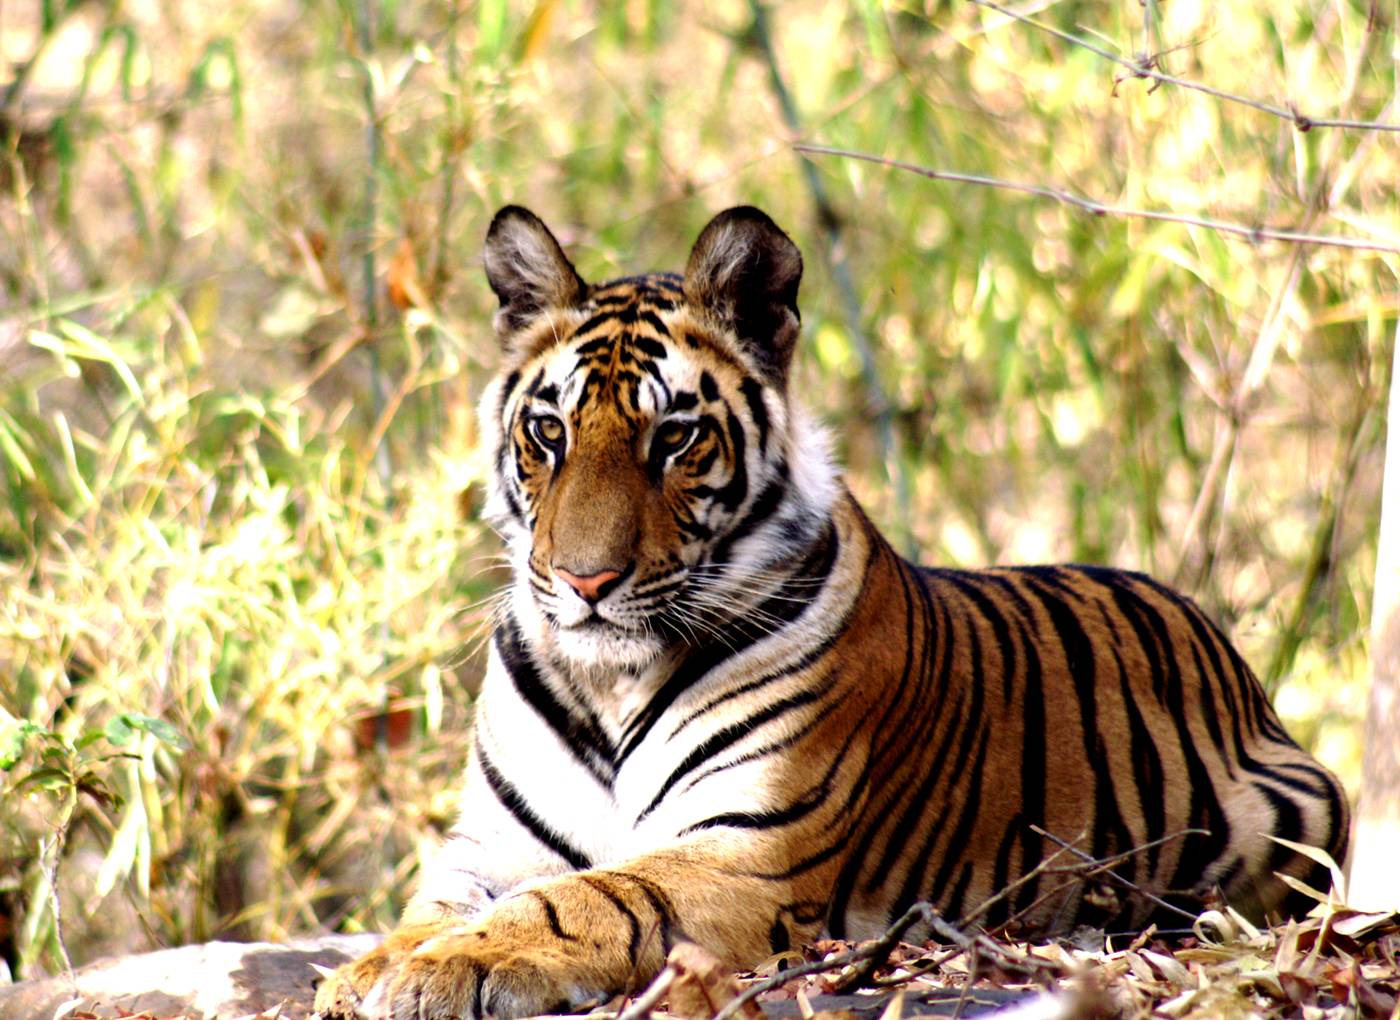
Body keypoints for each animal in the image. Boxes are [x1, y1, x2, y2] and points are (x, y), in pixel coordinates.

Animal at [315, 202, 1344, 1013]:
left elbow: (583, 899)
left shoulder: (741, 849)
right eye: (548, 432)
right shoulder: (490, 846)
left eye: (674, 438)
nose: (584, 582)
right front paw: (371, 968)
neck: (607, 680)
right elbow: (426, 908)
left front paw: (449, 967)